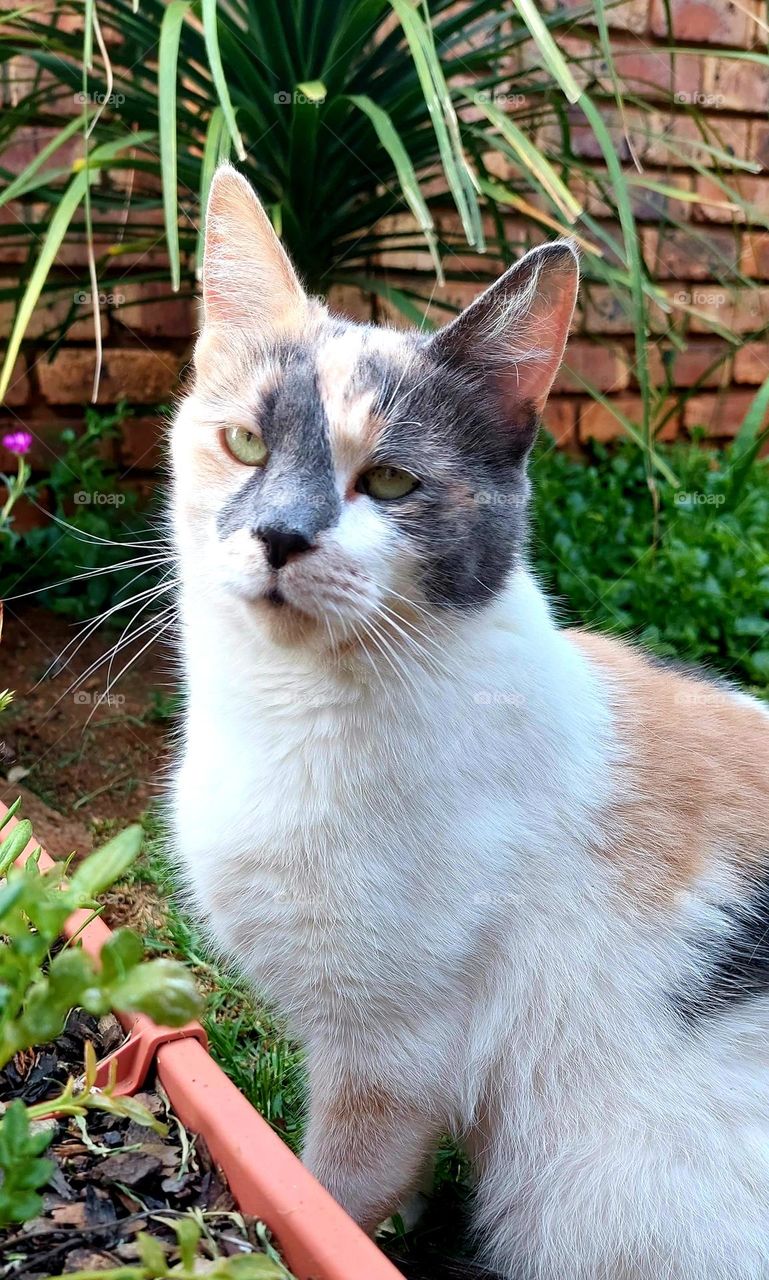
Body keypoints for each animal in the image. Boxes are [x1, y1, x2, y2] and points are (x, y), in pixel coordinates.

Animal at [170, 165, 769, 1280]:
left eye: (390, 479)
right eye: (244, 442)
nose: (279, 532)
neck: (288, 709)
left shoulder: (390, 1054)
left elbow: (325, 1195)